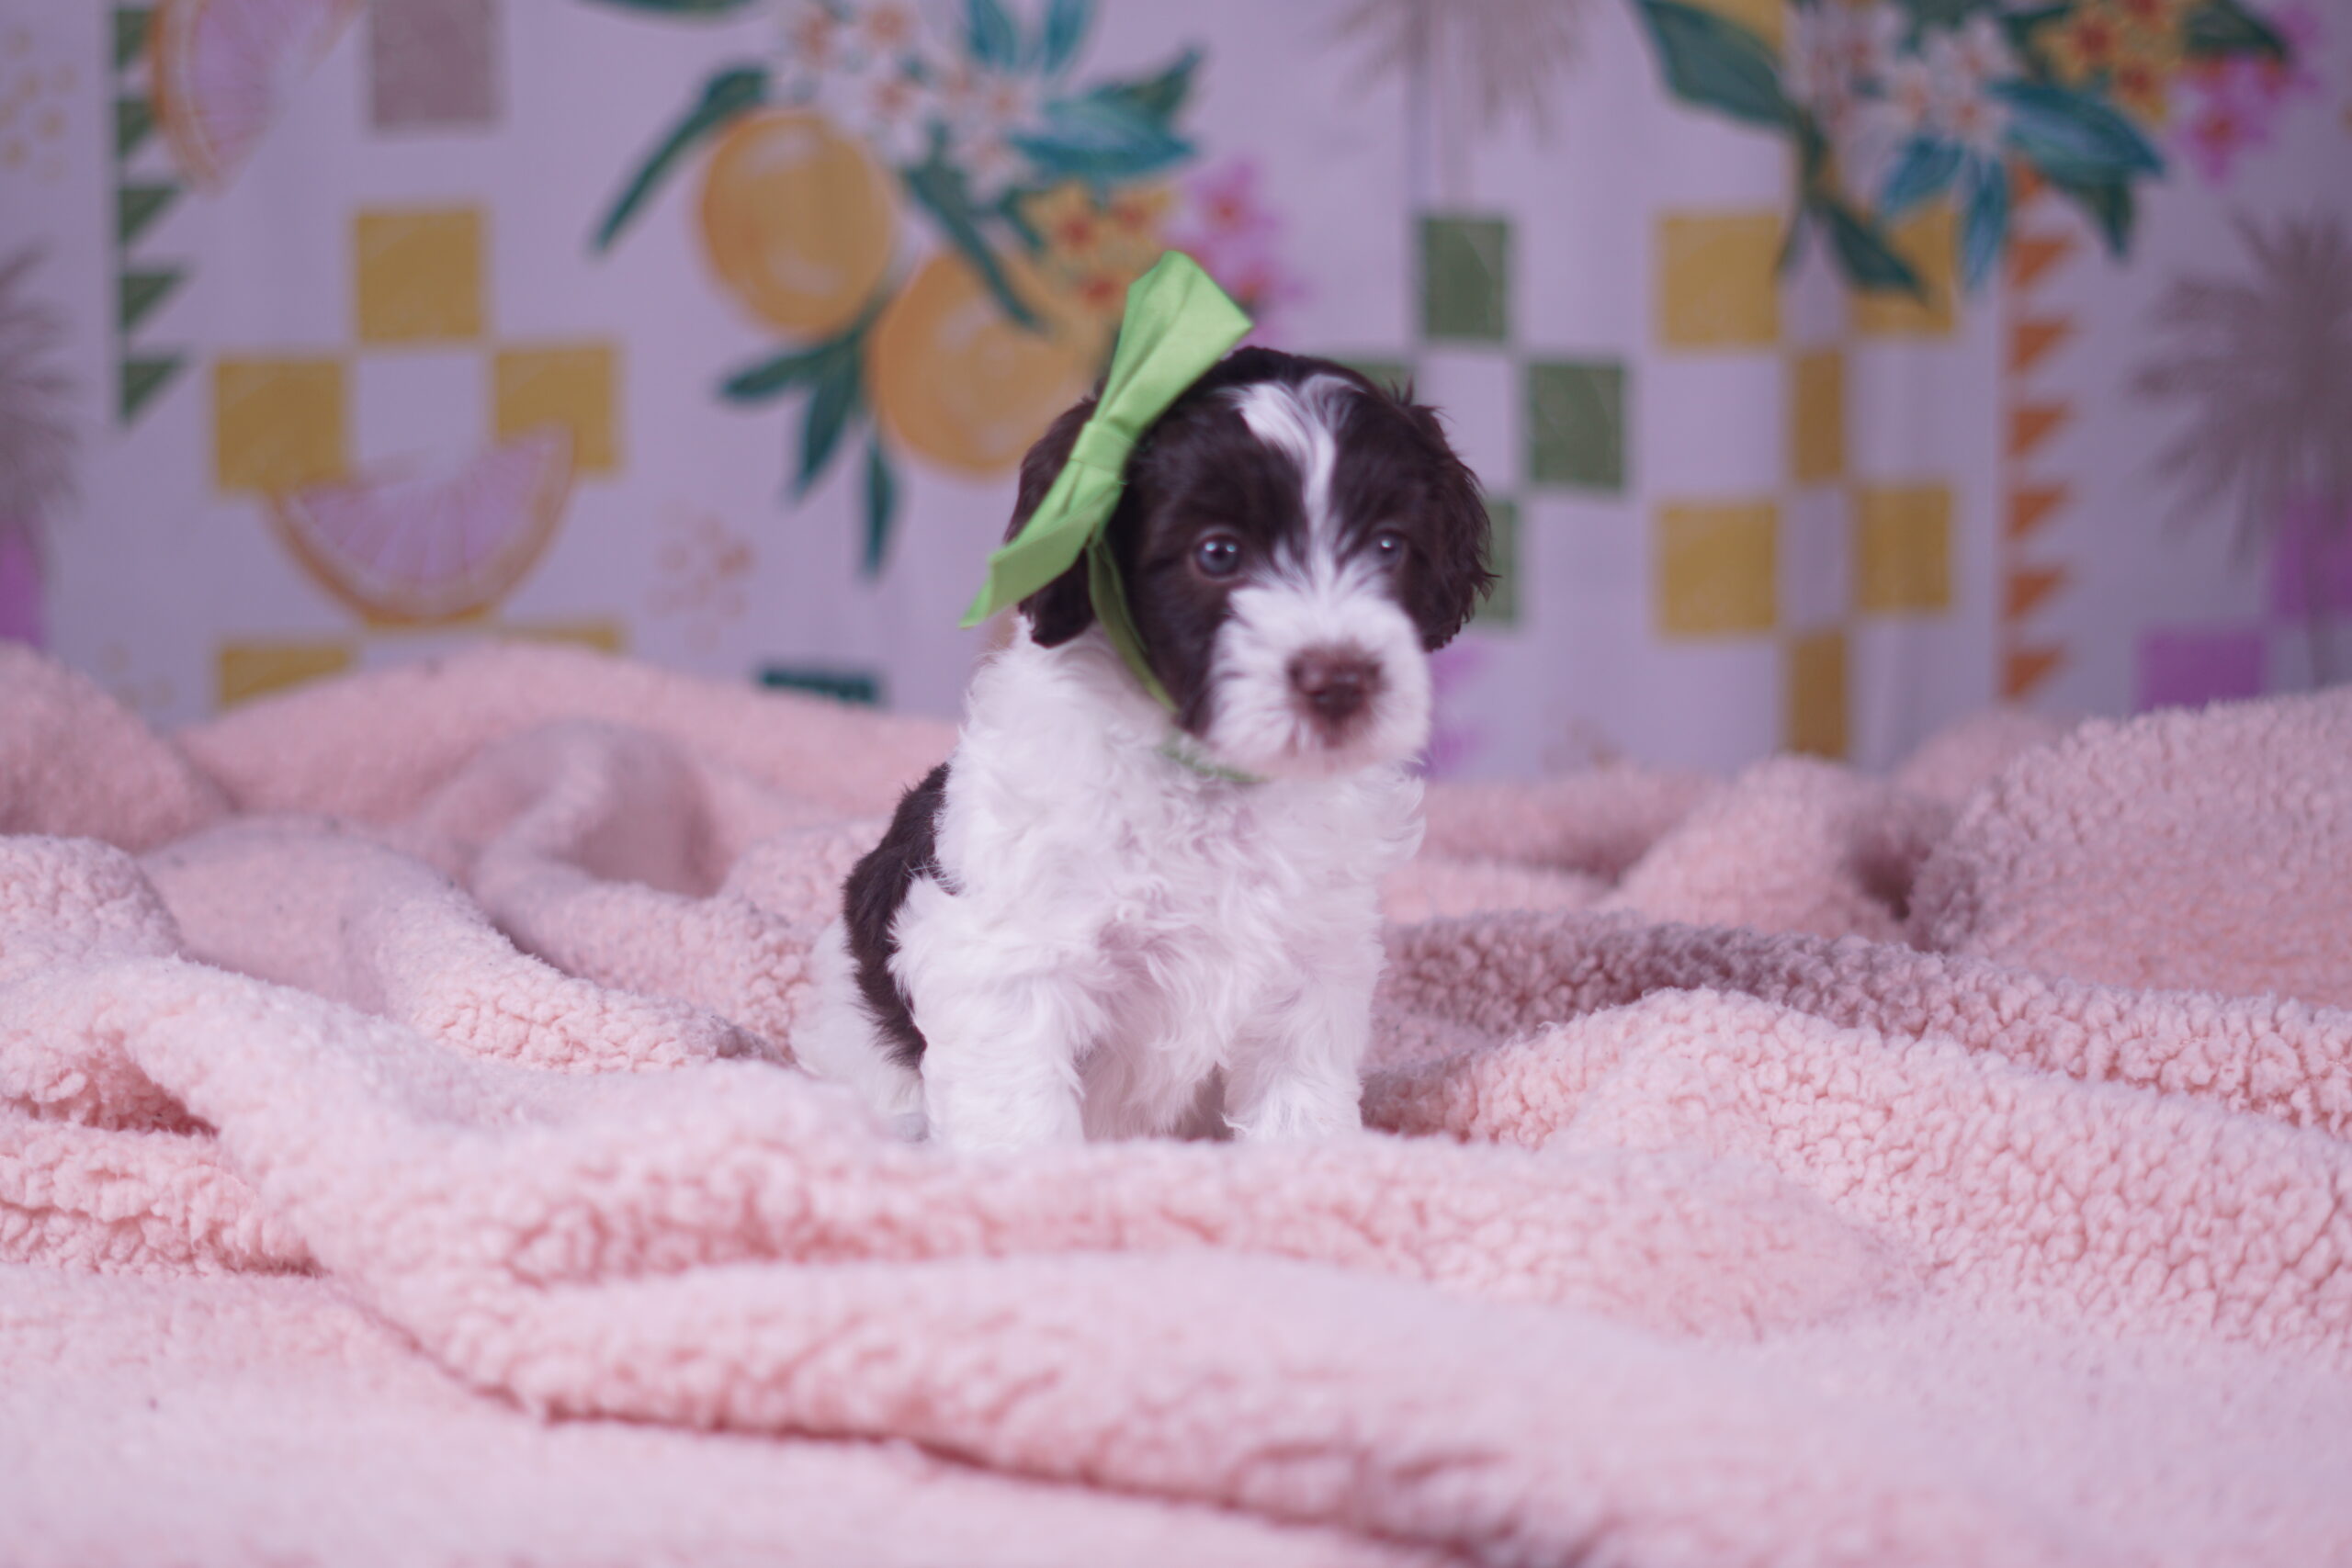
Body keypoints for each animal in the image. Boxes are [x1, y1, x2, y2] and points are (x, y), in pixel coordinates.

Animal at [797, 346, 1492, 1150]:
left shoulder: (1313, 958)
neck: (1213, 779)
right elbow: (1017, 1112)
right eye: (1217, 554)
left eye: (1388, 546)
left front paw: (1309, 1159)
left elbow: (1300, 1094)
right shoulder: (1010, 956)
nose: (1342, 679)